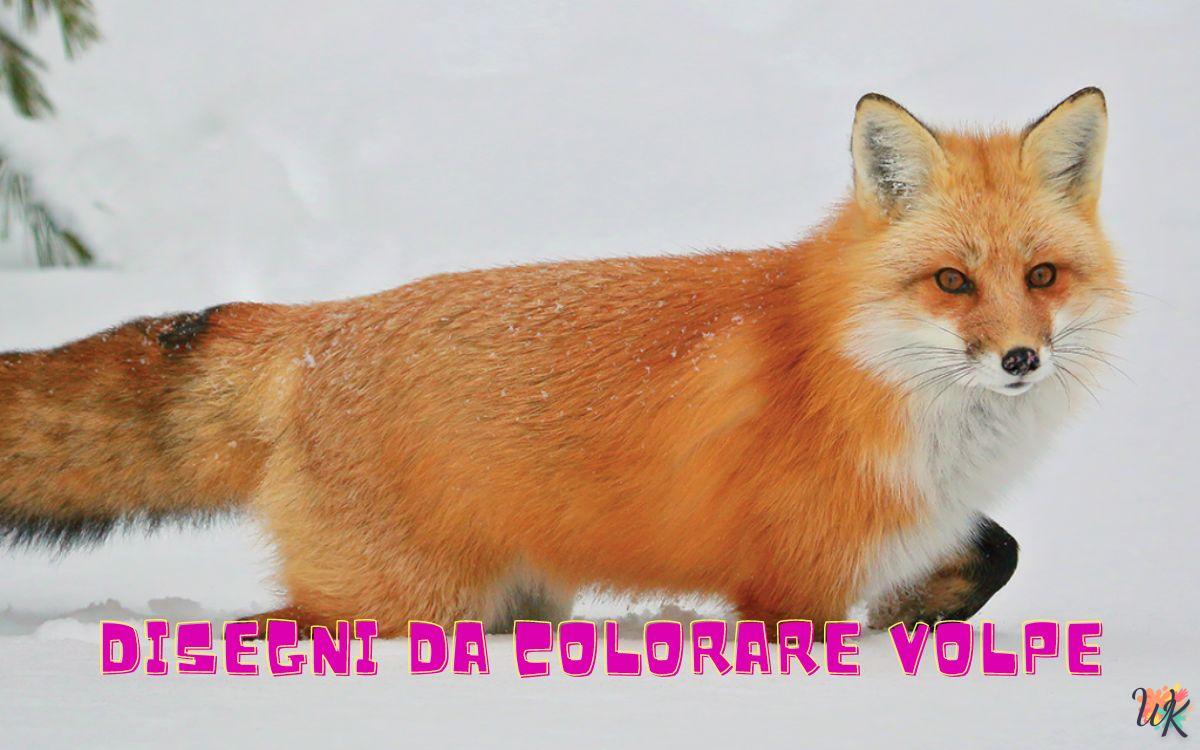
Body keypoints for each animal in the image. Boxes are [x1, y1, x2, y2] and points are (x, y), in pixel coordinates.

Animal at [0, 88, 1126, 638]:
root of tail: (318, 326)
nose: (1021, 358)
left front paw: (918, 621)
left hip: (513, 601)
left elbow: (995, 549)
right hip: (401, 606)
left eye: (1042, 275)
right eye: (951, 282)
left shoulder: (913, 522)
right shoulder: (787, 588)